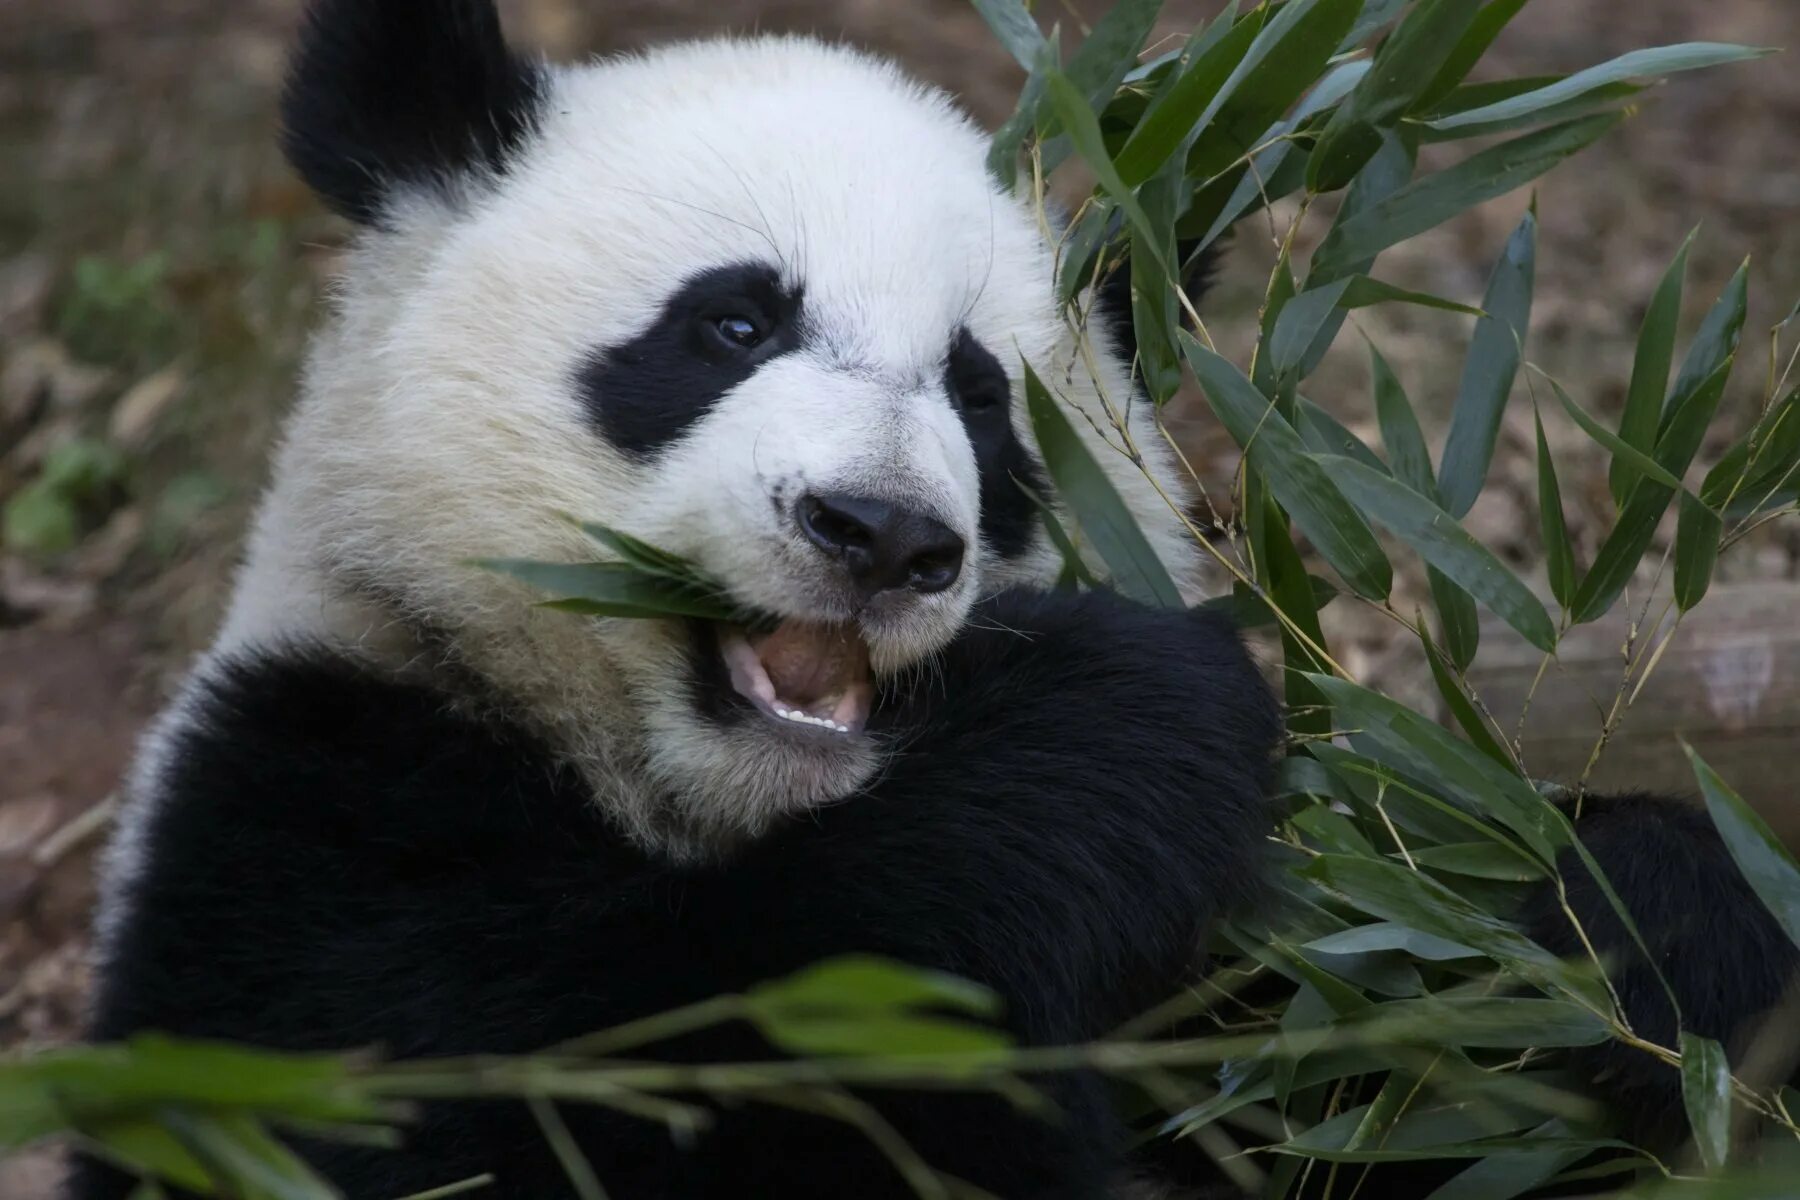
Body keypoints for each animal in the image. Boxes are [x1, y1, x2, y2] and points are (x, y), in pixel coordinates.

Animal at [70, 2, 1800, 1200]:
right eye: (732, 324)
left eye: (981, 398)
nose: (882, 533)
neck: (730, 809)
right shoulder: (317, 807)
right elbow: (620, 1082)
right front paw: (1126, 728)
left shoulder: (1203, 994)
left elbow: (1365, 1094)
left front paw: (1624, 923)